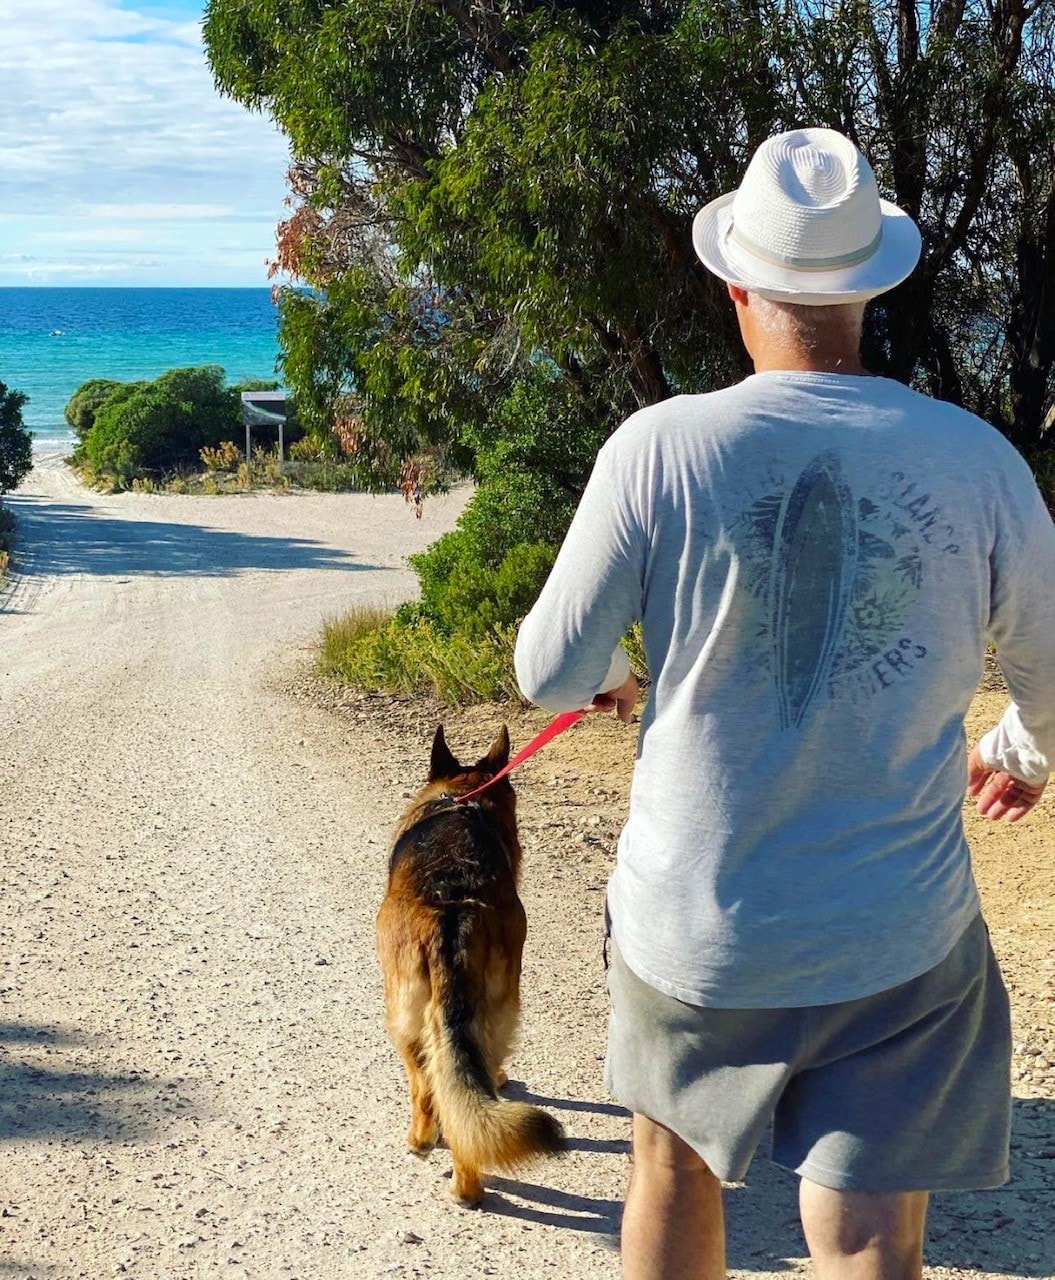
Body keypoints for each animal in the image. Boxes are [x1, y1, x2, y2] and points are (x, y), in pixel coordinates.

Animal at [373, 727, 563, 1203]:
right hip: (496, 1007)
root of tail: (453, 905)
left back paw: (428, 1148)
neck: (461, 795)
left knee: (426, 1087)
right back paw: (469, 1181)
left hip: (403, 1015)